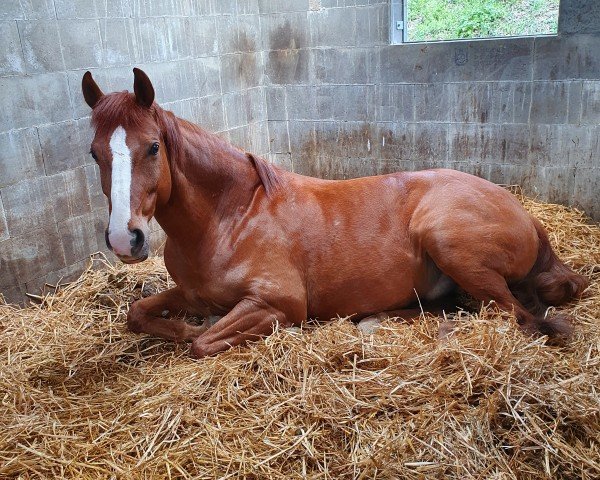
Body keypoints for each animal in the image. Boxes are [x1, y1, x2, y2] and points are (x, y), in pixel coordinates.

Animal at [82, 69, 588, 358]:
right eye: (94, 153)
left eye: (152, 146)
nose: (125, 238)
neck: (229, 219)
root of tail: (527, 216)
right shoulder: (192, 293)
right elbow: (137, 313)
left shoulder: (278, 304)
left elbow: (201, 342)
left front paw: (193, 332)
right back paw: (375, 319)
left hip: (448, 241)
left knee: (513, 317)